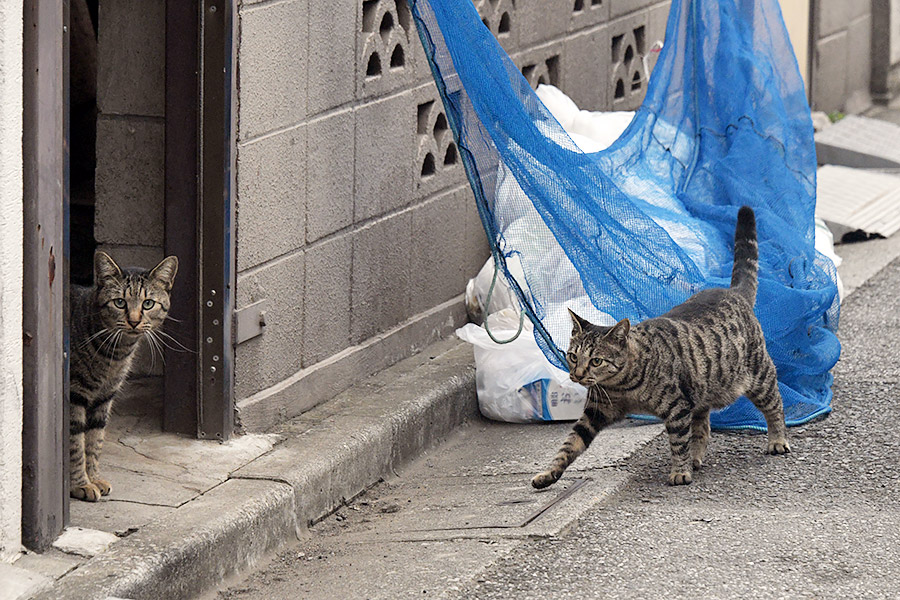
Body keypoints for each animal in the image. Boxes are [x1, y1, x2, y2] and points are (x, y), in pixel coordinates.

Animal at [69, 251, 178, 500]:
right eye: (120, 302)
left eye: (148, 303)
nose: (134, 321)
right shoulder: (74, 395)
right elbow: (76, 444)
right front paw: (80, 484)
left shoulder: (104, 397)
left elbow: (94, 441)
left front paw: (94, 478)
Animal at [532, 206, 792, 488]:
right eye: (572, 356)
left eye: (596, 361)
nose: (577, 375)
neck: (622, 387)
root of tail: (733, 292)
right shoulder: (595, 412)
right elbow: (569, 445)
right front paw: (548, 473)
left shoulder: (677, 408)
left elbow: (678, 442)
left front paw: (679, 471)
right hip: (699, 392)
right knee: (702, 428)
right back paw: (697, 458)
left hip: (759, 377)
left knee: (775, 405)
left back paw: (777, 440)